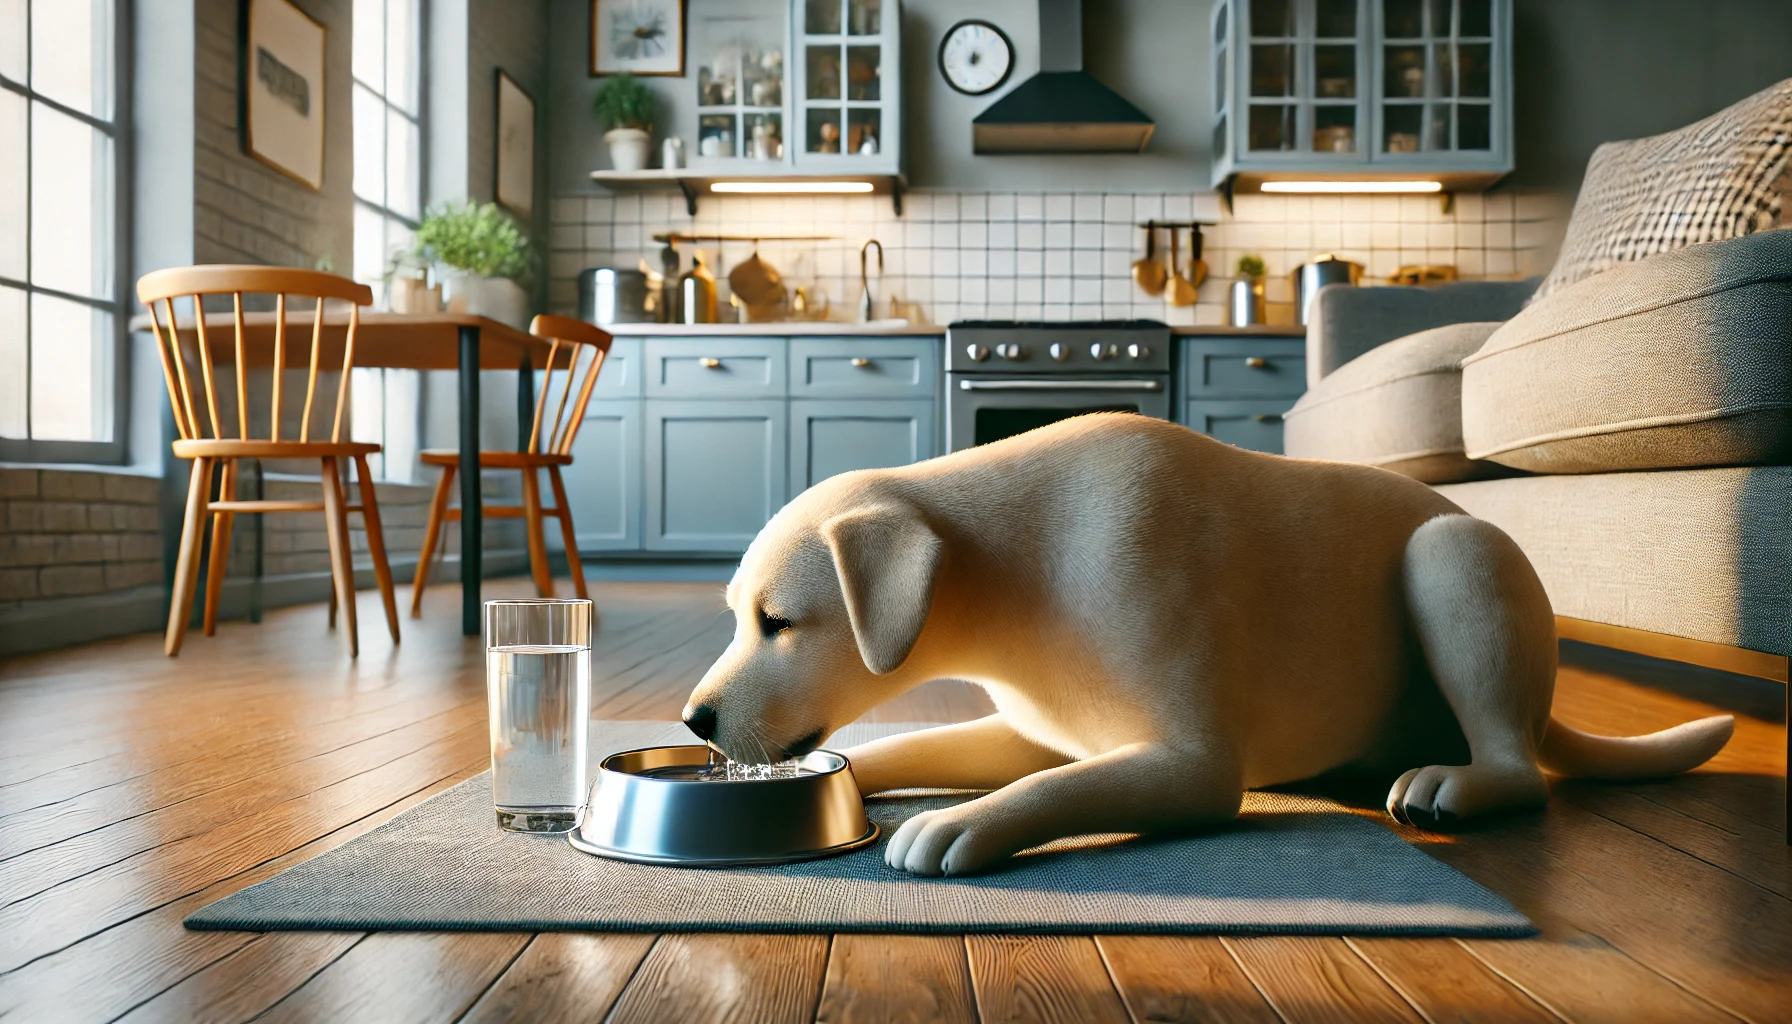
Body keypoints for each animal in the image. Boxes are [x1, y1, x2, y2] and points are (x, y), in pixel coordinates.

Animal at [677, 412, 1727, 878]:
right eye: (739, 617)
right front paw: (866, 780)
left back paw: (1454, 783)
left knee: (1518, 769)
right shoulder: (1030, 733)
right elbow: (914, 748)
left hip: (1452, 556)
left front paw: (963, 823)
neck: (1022, 567)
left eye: (778, 623)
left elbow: (1056, 791)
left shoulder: (1192, 764)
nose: (692, 720)